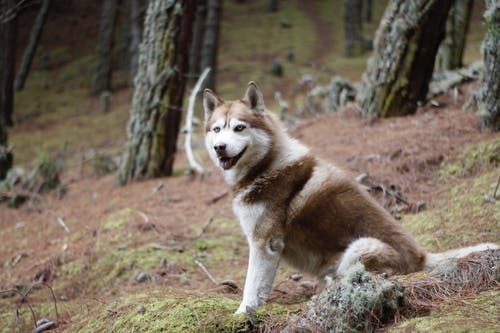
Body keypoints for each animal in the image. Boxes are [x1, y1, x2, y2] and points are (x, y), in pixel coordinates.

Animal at [202, 81, 496, 312]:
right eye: (217, 130)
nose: (220, 148)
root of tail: (421, 256)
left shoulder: (264, 243)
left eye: (239, 128)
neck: (265, 166)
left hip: (359, 247)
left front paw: (242, 313)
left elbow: (251, 287)